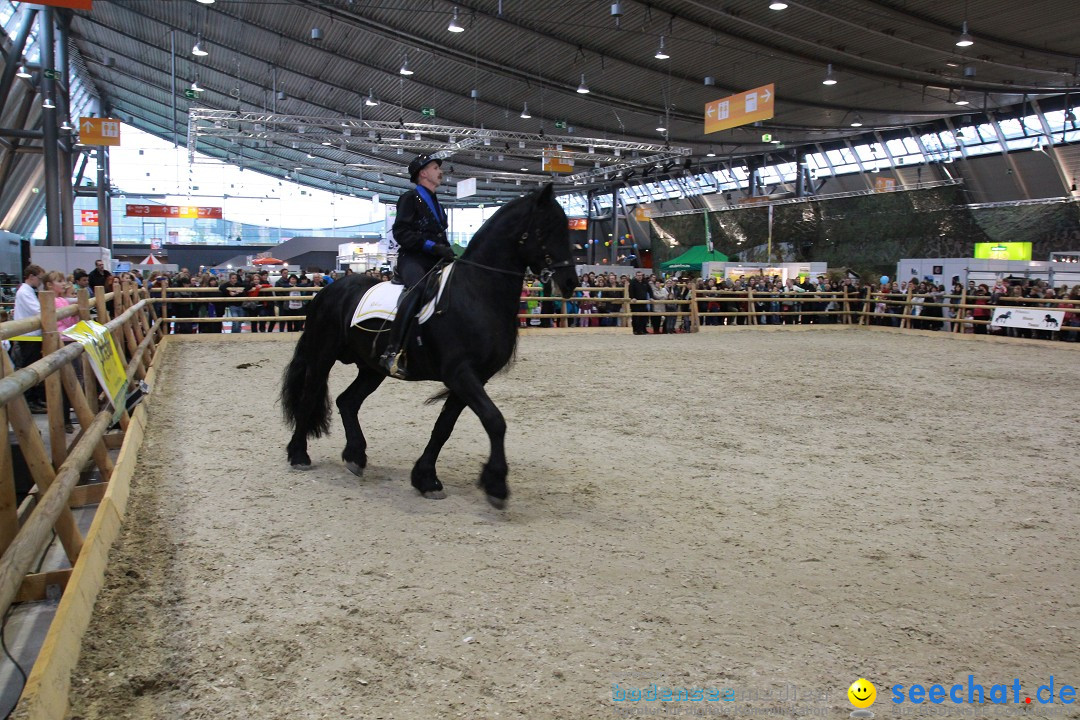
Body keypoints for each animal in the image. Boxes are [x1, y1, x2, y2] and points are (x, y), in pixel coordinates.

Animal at [282, 185, 578, 507]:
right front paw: (496, 485)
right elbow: (494, 420)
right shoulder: (460, 373)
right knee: (310, 397)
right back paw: (299, 454)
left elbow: (444, 427)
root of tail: (328, 291)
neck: (476, 292)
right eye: (546, 228)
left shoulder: (473, 377)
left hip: (372, 369)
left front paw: (426, 479)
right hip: (322, 356)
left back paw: (355, 456)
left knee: (347, 401)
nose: (570, 283)